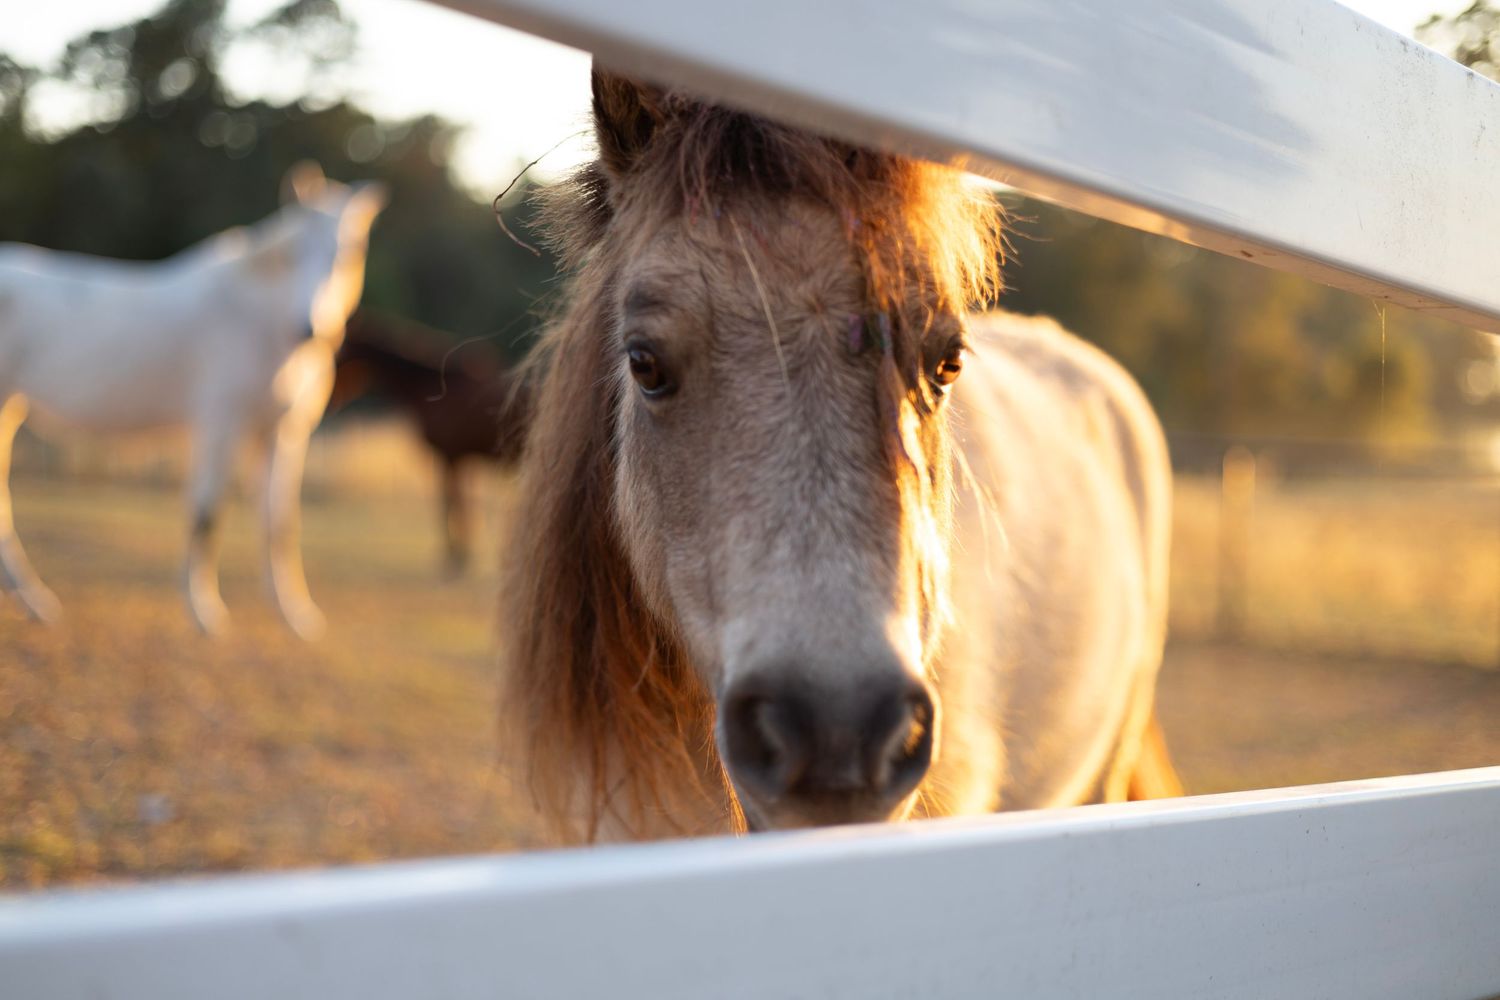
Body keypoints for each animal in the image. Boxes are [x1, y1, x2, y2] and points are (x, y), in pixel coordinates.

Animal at [0, 162, 386, 639]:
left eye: (350, 251)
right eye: (292, 252)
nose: (310, 330)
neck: (260, 323)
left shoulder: (280, 432)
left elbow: (278, 524)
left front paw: (294, 616)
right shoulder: (220, 424)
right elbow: (206, 515)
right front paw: (205, 614)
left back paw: (30, 600)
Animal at [329, 310, 531, 575]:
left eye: (341, 351)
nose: (330, 399)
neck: (429, 386)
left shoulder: (448, 455)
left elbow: (449, 505)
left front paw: (455, 557)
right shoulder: (462, 458)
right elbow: (462, 505)